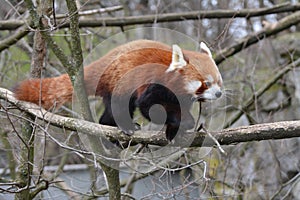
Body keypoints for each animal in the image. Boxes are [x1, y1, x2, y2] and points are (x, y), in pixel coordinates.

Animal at [14, 39, 223, 141]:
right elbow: (149, 106)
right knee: (121, 105)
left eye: (219, 82)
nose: (219, 94)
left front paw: (174, 130)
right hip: (118, 82)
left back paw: (109, 126)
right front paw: (183, 122)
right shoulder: (155, 84)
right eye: (206, 83)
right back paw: (125, 126)